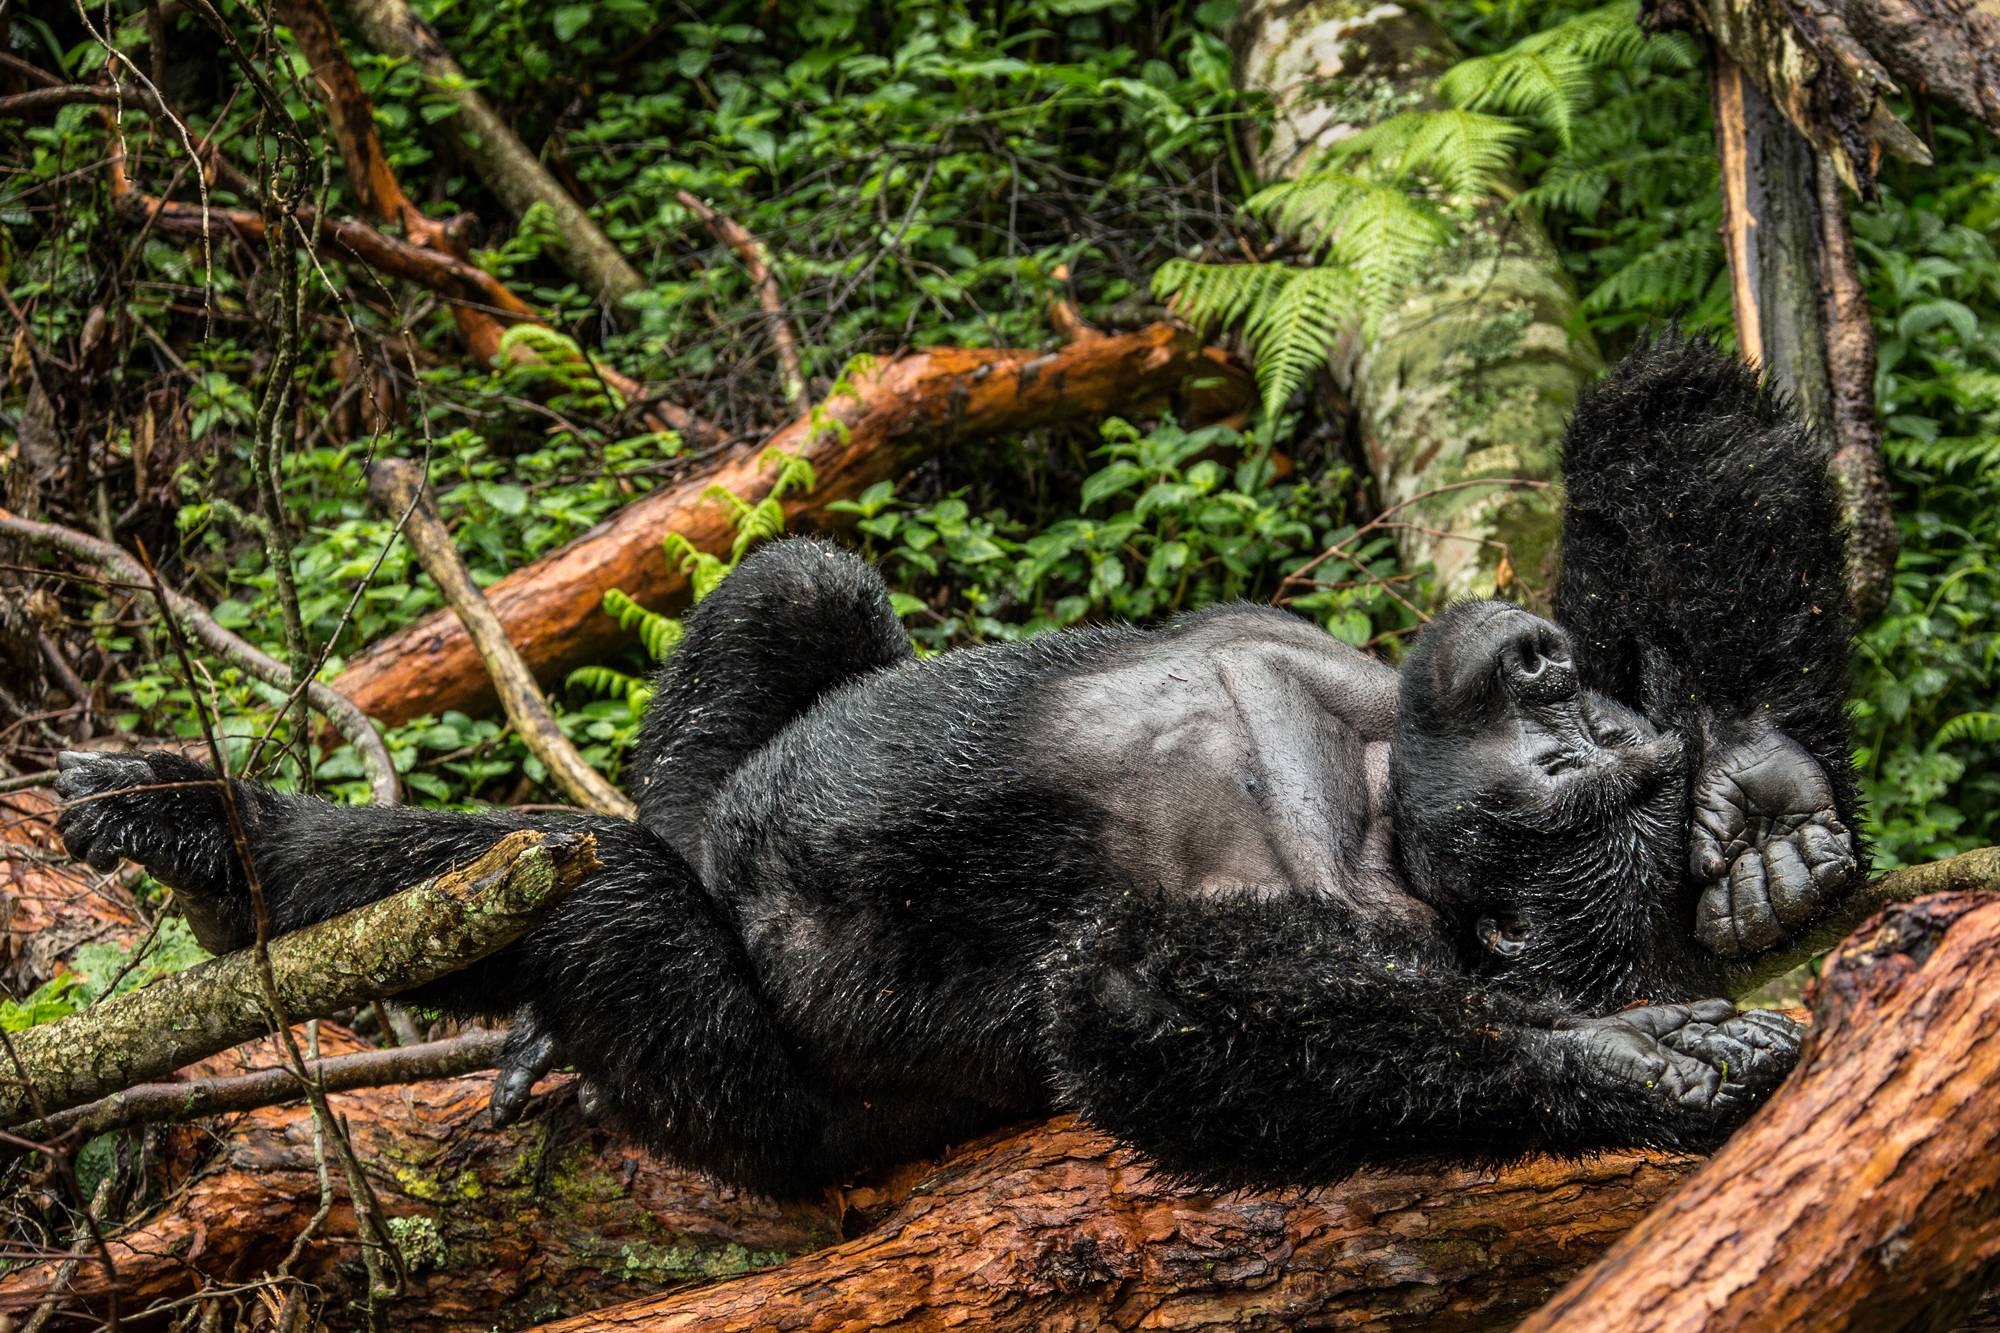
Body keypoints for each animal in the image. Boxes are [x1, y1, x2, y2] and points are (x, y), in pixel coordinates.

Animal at [50, 332, 1856, 1192]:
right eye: (1569, 725)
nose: (1547, 678)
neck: (1370, 775)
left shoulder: (1371, 911)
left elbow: (1141, 999)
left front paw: (1613, 1052)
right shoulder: (1345, 643)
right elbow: (1661, 423)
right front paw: (1758, 781)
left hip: (752, 1120)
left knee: (601, 895)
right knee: (781, 609)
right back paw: (218, 831)